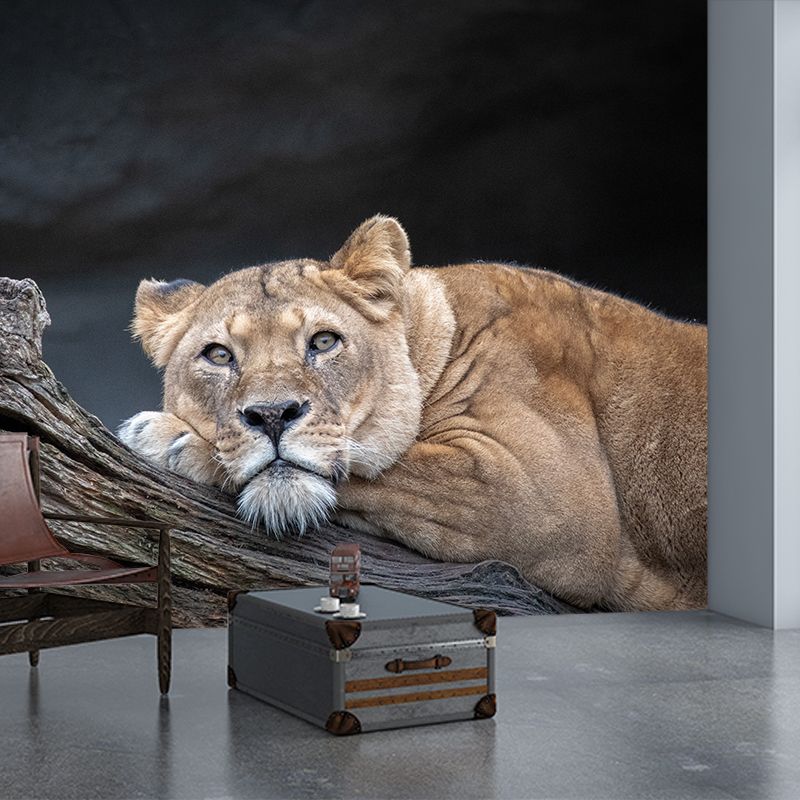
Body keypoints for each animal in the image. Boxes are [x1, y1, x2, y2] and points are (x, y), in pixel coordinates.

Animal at [118, 215, 707, 612]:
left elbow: (386, 466)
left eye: (323, 342)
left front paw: (165, 438)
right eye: (219, 355)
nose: (272, 415)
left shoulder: (548, 494)